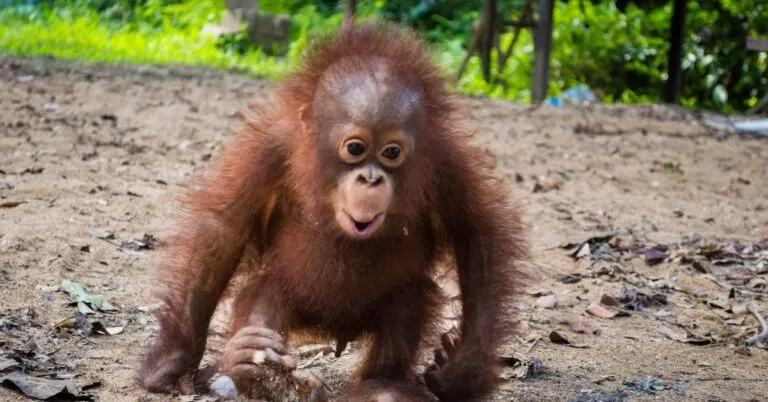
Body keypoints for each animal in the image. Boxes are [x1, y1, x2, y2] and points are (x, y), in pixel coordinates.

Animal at [136, 20, 527, 401]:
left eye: (392, 152)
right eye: (355, 148)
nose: (371, 179)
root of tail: (336, 331)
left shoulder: (448, 162)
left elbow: (474, 236)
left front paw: (461, 368)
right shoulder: (271, 147)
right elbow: (224, 228)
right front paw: (171, 365)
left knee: (407, 299)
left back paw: (382, 385)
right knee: (266, 293)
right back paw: (255, 365)